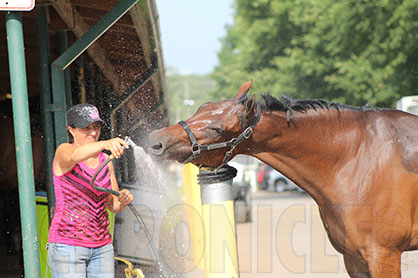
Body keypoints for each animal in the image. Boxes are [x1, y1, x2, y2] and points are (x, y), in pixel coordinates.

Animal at [148, 80, 418, 276]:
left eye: (217, 129)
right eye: (200, 107)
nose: (155, 140)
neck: (357, 157)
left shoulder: (383, 255)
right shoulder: (353, 258)